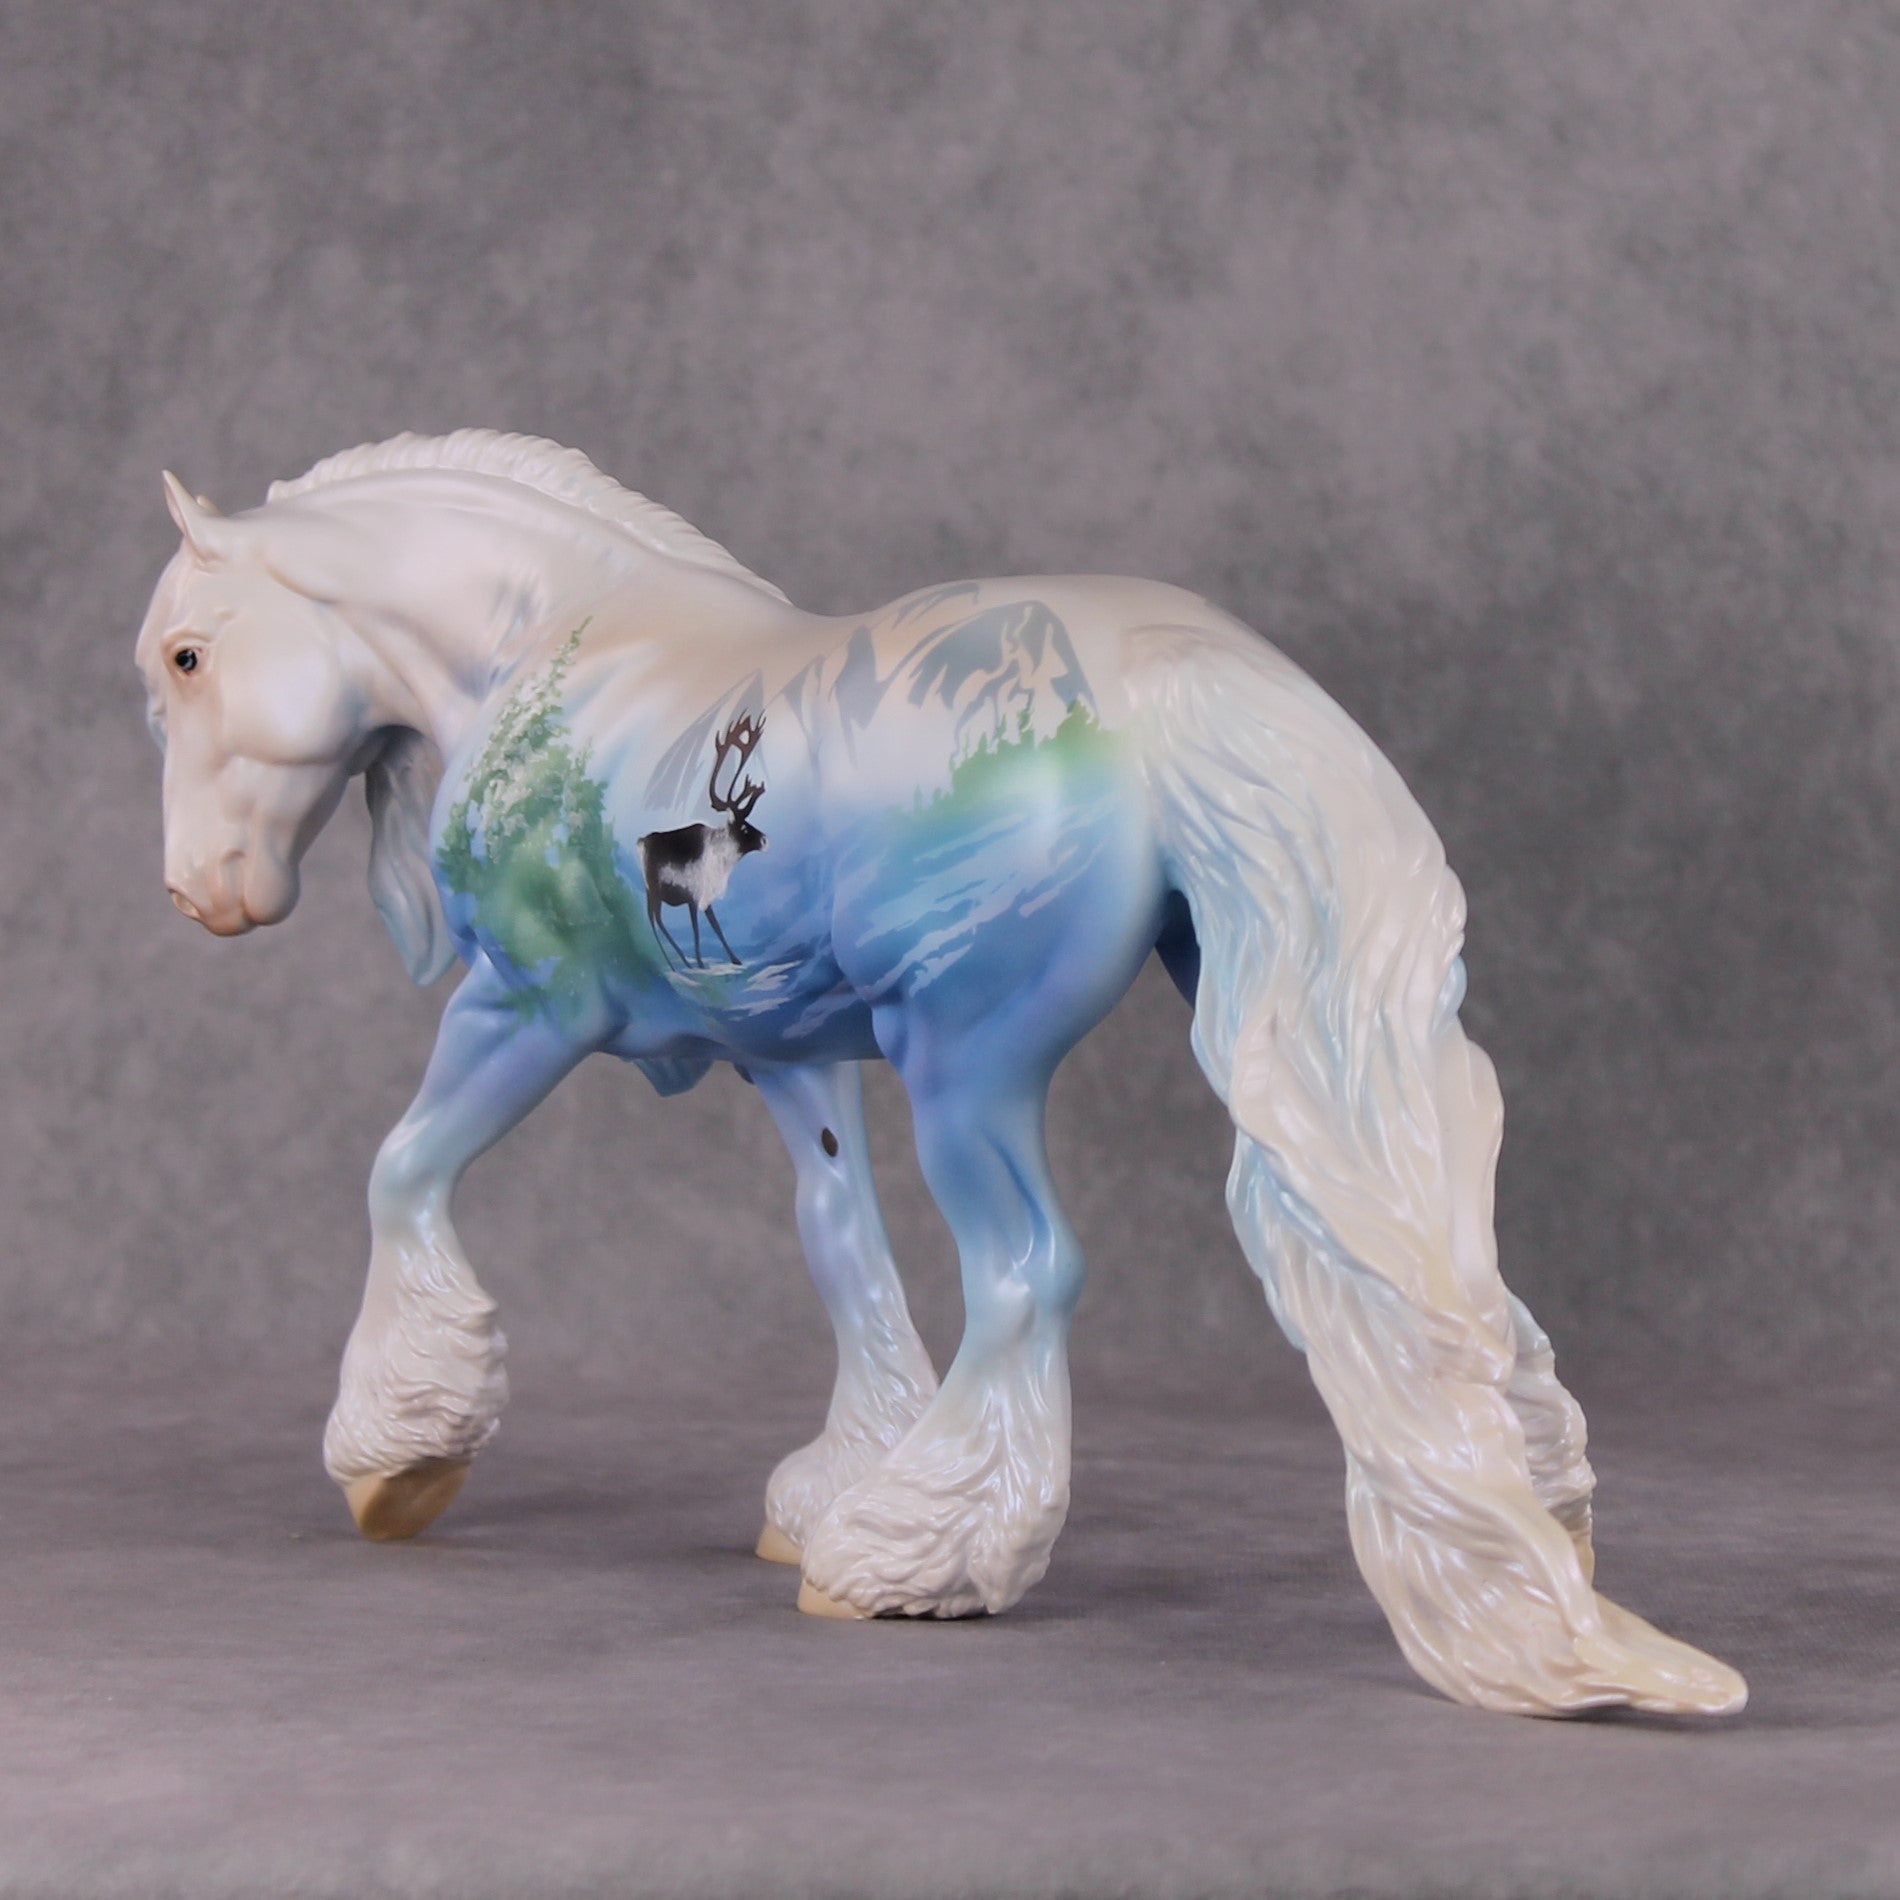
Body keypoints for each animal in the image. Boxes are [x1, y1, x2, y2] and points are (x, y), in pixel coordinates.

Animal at [637, 712, 769, 968]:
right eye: (744, 828)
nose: (766, 839)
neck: (723, 859)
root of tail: (641, 842)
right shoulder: (698, 895)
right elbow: (705, 928)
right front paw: (709, 962)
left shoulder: (696, 899)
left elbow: (706, 928)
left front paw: (721, 960)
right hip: (654, 889)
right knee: (654, 919)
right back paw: (676, 963)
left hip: (651, 891)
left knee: (655, 919)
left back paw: (680, 961)